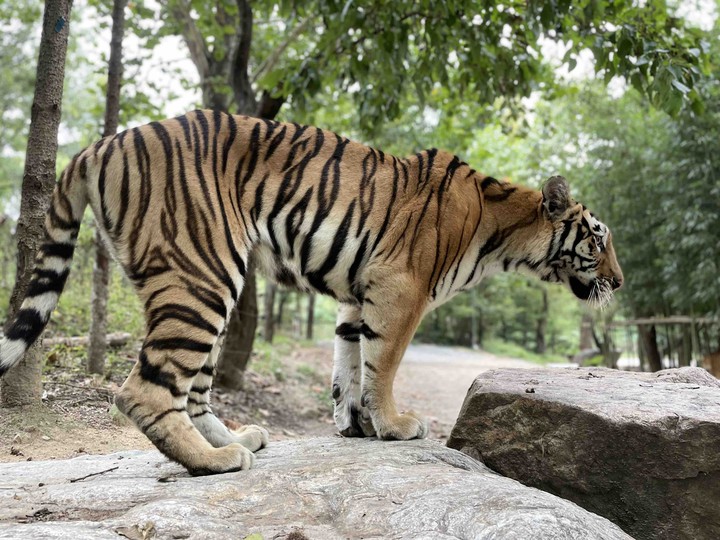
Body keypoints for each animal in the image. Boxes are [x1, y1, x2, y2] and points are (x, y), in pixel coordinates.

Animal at [0, 110, 623, 475]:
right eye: (598, 238)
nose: (618, 281)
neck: (501, 232)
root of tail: (100, 145)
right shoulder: (402, 290)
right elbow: (384, 365)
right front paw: (395, 426)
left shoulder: (359, 294)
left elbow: (351, 363)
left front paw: (356, 426)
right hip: (204, 273)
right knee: (144, 391)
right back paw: (215, 461)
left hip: (206, 284)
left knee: (190, 388)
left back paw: (239, 440)